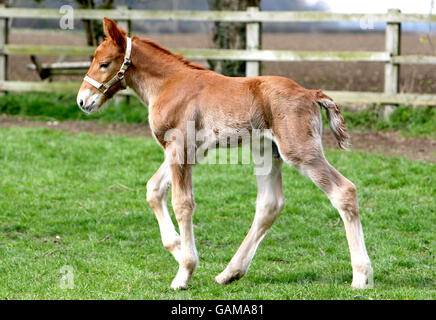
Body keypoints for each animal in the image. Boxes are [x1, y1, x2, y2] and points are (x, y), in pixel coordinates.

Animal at [77, 18, 372, 292]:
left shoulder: (180, 147)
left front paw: (185, 271)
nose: (82, 100)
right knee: (270, 204)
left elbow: (182, 204)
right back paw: (229, 273)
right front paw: (177, 249)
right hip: (266, 152)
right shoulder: (187, 152)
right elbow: (154, 190)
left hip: (299, 151)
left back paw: (361, 276)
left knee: (344, 191)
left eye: (104, 63)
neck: (169, 84)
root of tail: (310, 93)